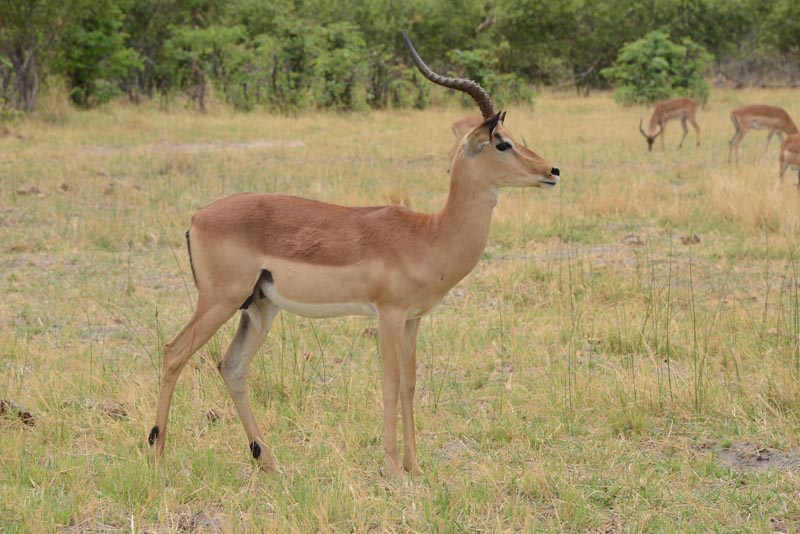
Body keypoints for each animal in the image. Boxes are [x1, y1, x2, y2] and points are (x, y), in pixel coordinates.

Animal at [148, 31, 560, 477]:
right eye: (502, 143)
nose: (552, 171)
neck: (430, 234)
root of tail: (197, 217)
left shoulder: (414, 319)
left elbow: (410, 383)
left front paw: (415, 468)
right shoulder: (389, 314)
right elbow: (390, 382)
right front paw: (393, 469)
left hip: (259, 307)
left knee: (233, 367)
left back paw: (270, 463)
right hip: (219, 300)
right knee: (174, 353)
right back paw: (157, 454)